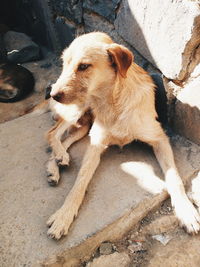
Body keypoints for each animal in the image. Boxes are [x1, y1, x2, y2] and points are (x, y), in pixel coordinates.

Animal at [45, 31, 200, 241]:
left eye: (83, 66)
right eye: (64, 64)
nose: (51, 93)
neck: (113, 102)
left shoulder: (160, 139)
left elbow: (174, 177)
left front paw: (186, 212)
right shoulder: (95, 144)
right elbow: (80, 182)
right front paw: (63, 215)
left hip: (83, 124)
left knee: (63, 138)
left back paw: (57, 163)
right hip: (78, 110)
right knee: (52, 133)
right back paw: (59, 159)